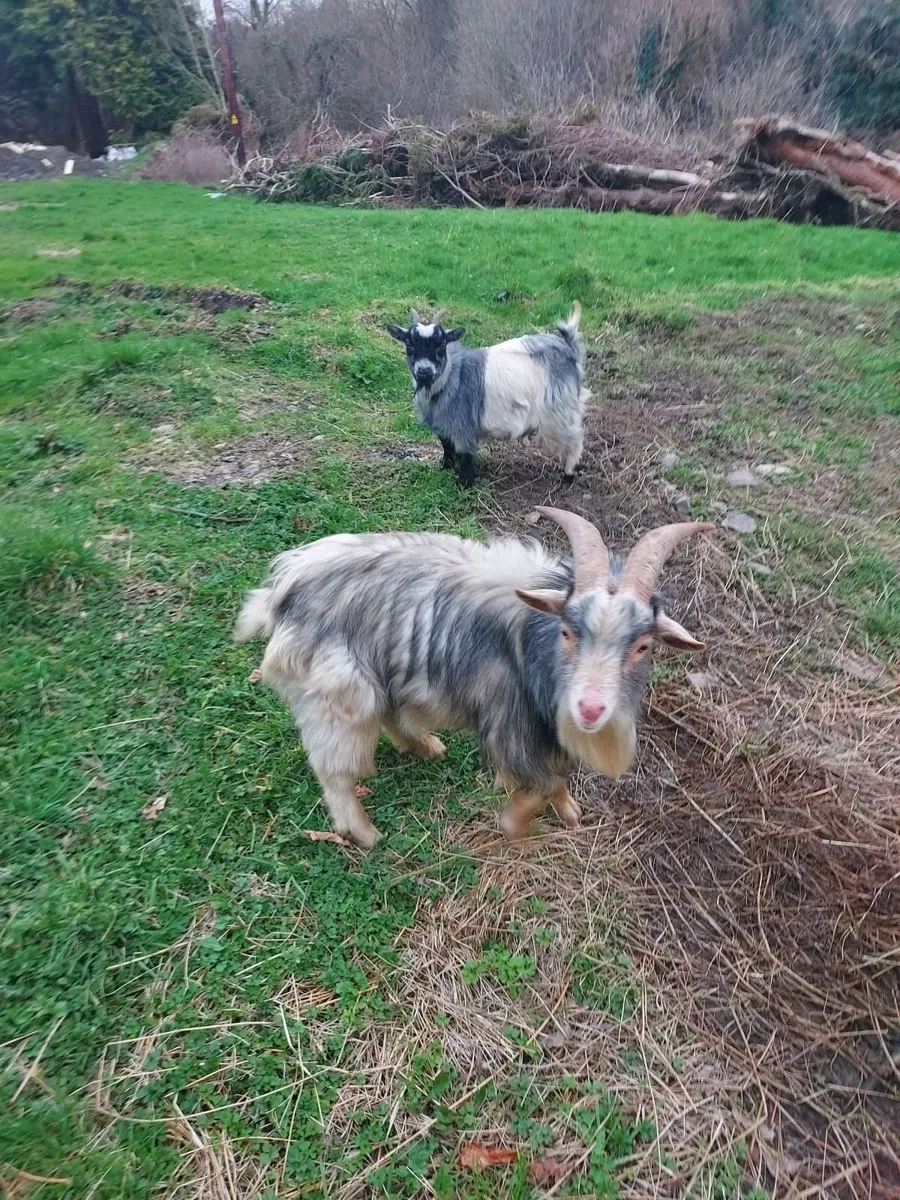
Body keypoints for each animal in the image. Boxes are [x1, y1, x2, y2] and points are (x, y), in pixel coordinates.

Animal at [236, 511, 713, 847]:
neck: (535, 632)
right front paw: (515, 823)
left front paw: (570, 812)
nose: (591, 709)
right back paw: (365, 834)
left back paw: (426, 746)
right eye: (567, 631)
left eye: (643, 646)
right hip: (338, 698)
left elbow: (557, 778)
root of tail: (283, 589)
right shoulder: (511, 723)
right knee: (333, 770)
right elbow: (540, 783)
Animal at [386, 305, 589, 487]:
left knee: (575, 438)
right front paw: (445, 468)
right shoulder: (444, 426)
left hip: (559, 410)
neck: (452, 377)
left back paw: (568, 474)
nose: (424, 371)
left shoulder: (464, 426)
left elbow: (466, 455)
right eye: (409, 344)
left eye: (442, 344)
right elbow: (447, 447)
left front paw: (464, 484)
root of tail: (570, 350)